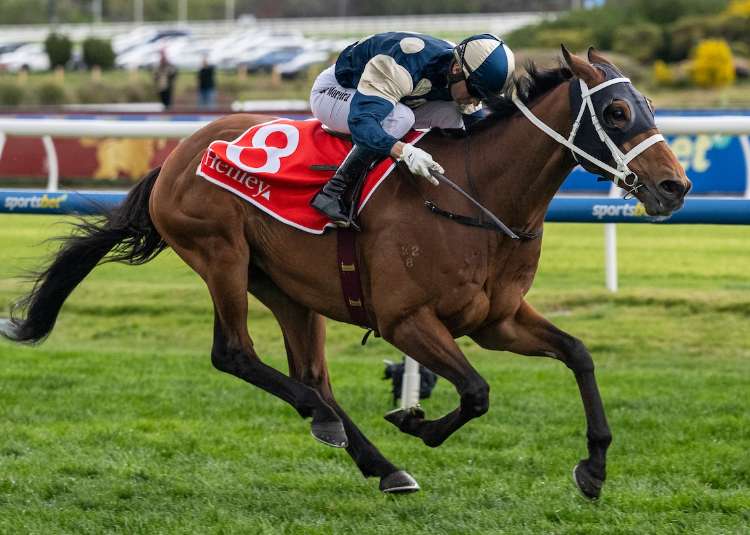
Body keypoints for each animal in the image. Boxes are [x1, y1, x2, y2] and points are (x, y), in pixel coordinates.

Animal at [0, 47, 690, 499]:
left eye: (649, 105)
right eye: (619, 113)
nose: (675, 187)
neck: (475, 194)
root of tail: (175, 155)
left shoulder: (497, 320)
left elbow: (578, 354)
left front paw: (593, 469)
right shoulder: (405, 320)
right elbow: (476, 391)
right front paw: (416, 422)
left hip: (287, 287)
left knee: (312, 376)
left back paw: (377, 463)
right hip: (220, 254)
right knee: (237, 354)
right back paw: (338, 428)